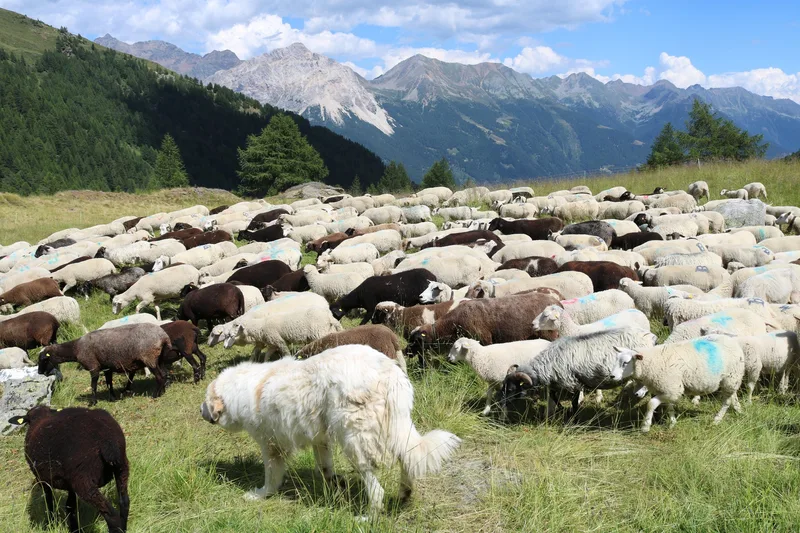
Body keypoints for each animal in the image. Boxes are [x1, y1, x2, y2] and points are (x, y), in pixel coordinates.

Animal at [38, 323, 171, 404]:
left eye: (44, 359)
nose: (39, 372)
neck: (75, 348)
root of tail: (163, 336)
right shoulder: (107, 368)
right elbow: (108, 383)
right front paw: (112, 397)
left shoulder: (93, 367)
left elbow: (93, 386)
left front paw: (93, 402)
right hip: (160, 358)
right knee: (164, 374)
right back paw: (162, 392)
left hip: (150, 358)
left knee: (160, 376)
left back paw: (155, 395)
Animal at [502, 327, 657, 415]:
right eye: (503, 387)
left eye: (511, 389)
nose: (501, 403)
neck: (547, 364)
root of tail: (651, 337)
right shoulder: (558, 382)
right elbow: (553, 396)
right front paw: (562, 410)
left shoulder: (572, 381)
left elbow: (574, 401)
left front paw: (572, 416)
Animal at [612, 335, 744, 431]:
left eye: (626, 363)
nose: (612, 376)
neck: (652, 361)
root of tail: (734, 342)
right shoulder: (668, 390)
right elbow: (669, 407)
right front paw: (672, 423)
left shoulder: (672, 389)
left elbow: (651, 403)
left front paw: (645, 426)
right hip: (731, 380)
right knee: (733, 396)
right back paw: (739, 410)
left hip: (731, 377)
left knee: (726, 401)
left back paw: (717, 420)